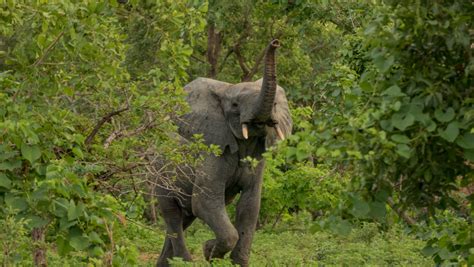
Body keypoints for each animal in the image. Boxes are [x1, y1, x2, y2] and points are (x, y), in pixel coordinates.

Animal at [156, 39, 290, 267]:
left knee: (184, 218)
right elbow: (205, 202)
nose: (275, 42)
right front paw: (209, 250)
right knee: (172, 215)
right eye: (235, 105)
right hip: (158, 172)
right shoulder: (214, 151)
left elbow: (250, 205)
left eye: (274, 104)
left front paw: (229, 258)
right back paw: (185, 260)